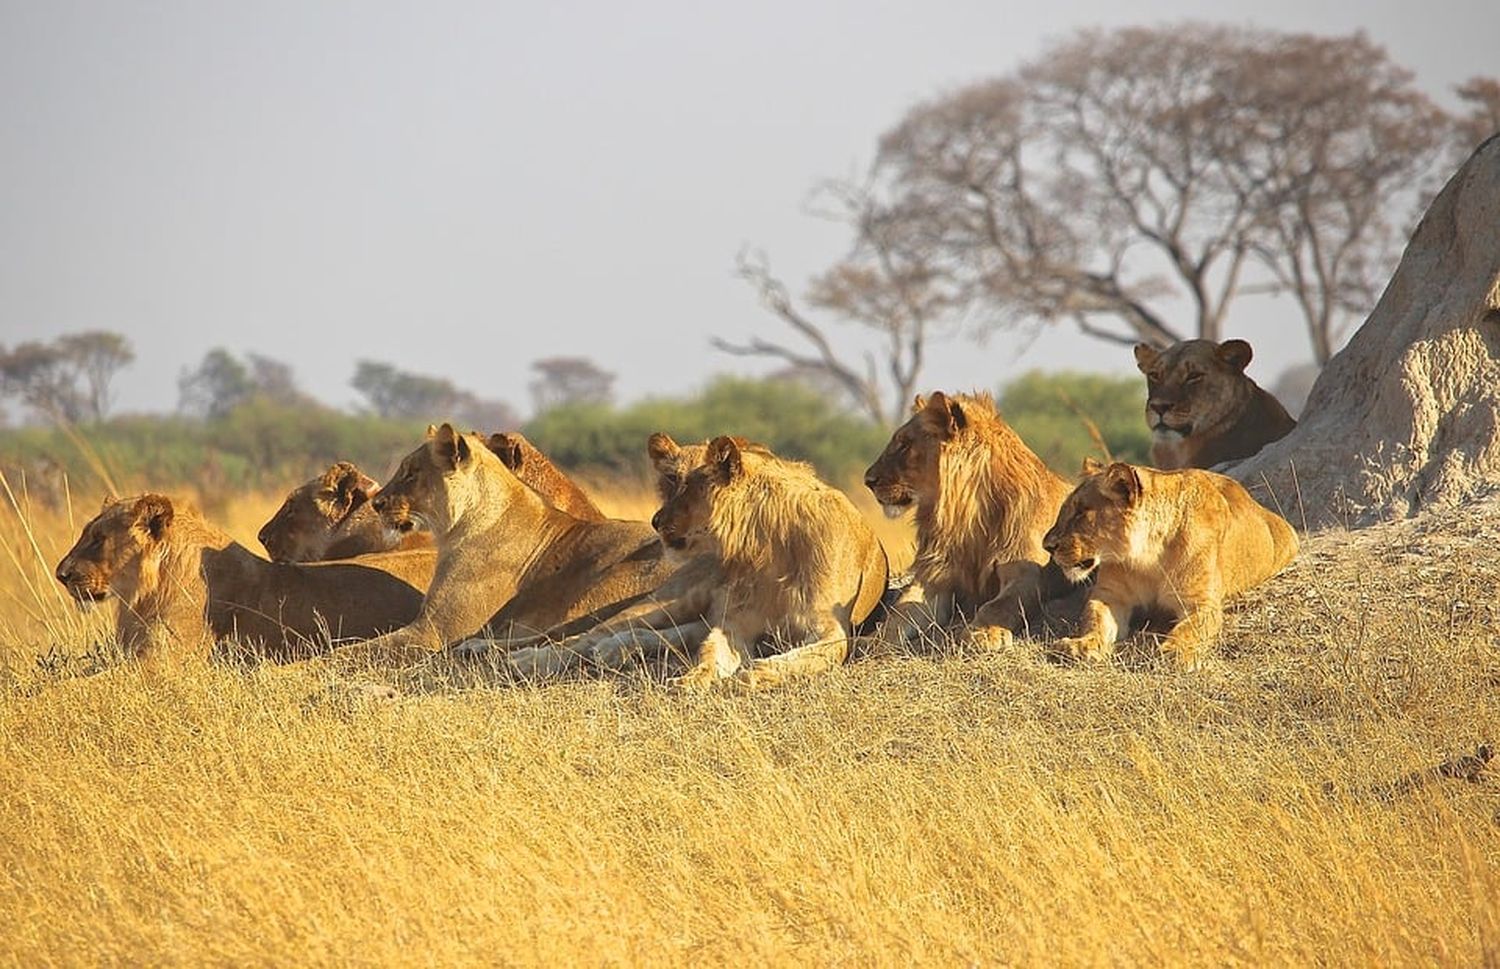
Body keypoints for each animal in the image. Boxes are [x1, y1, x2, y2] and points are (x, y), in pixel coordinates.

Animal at [334, 426, 681, 669]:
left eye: (410, 473)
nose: (377, 503)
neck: (457, 528)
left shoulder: (433, 630)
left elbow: (355, 649)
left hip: (602, 588)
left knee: (578, 636)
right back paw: (477, 649)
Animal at [654, 438, 888, 696]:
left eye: (688, 487)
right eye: (672, 480)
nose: (655, 522)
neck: (770, 547)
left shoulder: (831, 627)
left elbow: (803, 658)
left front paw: (751, 675)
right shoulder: (736, 622)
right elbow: (710, 652)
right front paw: (690, 679)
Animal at [1044, 462, 1302, 672]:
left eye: (1080, 513)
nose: (1047, 546)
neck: (1148, 558)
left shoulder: (1201, 602)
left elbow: (1191, 629)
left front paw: (1175, 652)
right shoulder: (1110, 596)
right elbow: (1095, 619)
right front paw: (1079, 646)